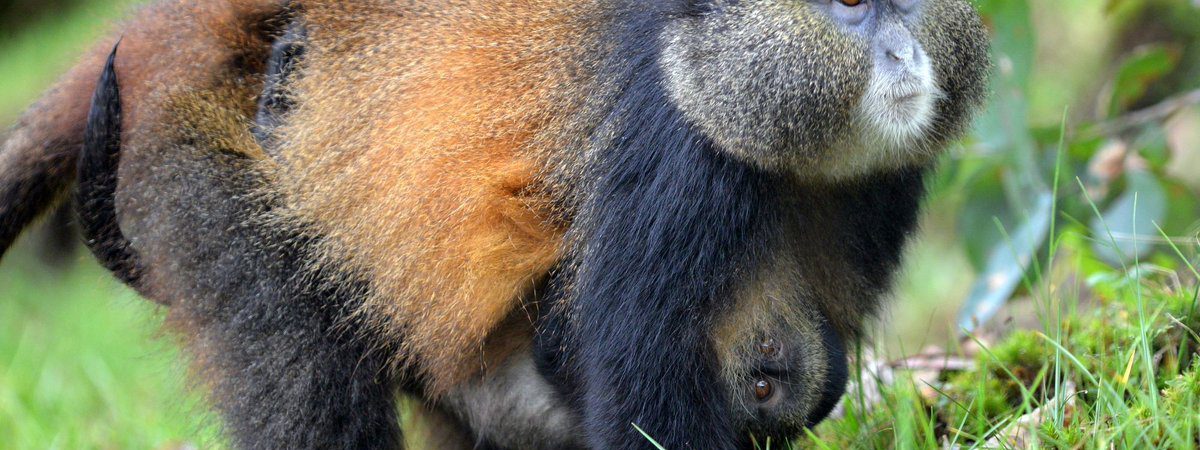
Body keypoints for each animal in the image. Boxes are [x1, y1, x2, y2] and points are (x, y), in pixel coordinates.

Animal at [0, 0, 990, 448]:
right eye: (846, 3)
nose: (904, 55)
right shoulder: (673, 167)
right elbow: (641, 399)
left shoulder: (879, 189)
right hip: (194, 167)